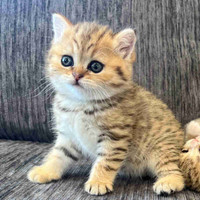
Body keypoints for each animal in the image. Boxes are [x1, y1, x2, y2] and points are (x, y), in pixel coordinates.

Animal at [27, 13, 184, 195]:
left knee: (174, 170)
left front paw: (98, 181)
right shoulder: (69, 136)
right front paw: (46, 170)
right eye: (66, 61)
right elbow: (59, 154)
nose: (76, 75)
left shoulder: (115, 137)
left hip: (162, 147)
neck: (80, 104)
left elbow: (105, 162)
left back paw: (169, 181)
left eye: (95, 66)